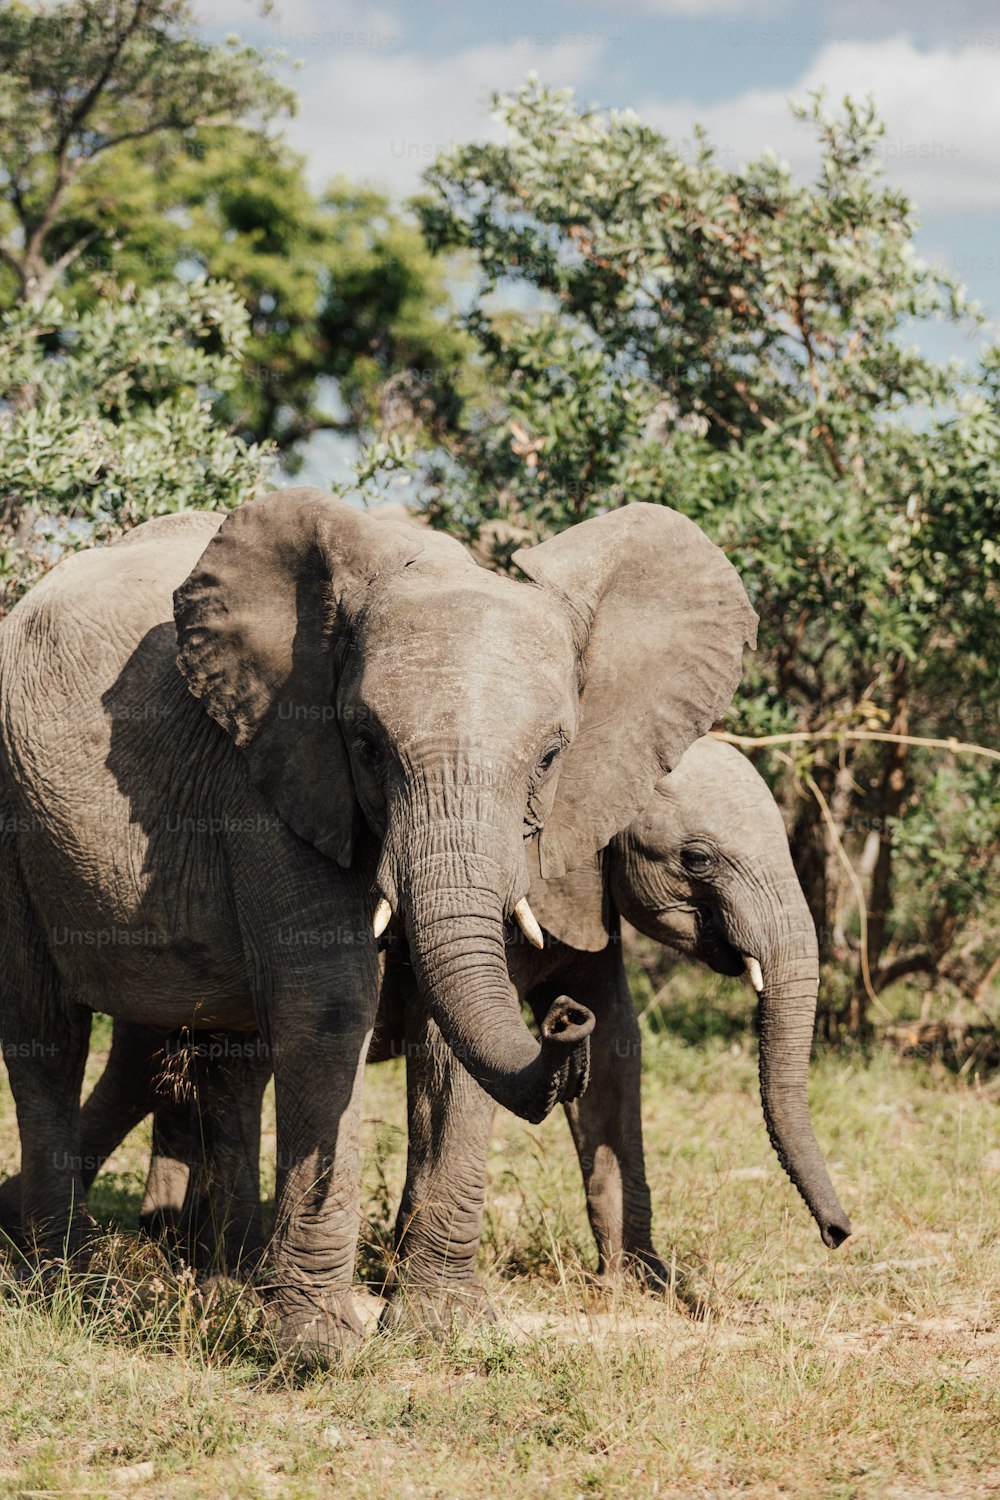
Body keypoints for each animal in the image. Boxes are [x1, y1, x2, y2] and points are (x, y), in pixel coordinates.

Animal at [0, 489, 758, 1362]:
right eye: (364, 743)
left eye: (550, 757)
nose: (568, 1019)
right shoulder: (272, 765)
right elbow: (331, 1004)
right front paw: (317, 1350)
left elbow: (449, 1035)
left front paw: (441, 1328)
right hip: (15, 818)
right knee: (47, 1033)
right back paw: (71, 1286)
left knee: (224, 1053)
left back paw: (219, 1280)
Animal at [0, 732, 851, 1320]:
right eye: (698, 859)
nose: (839, 1236)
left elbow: (615, 1052)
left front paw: (641, 1281)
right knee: (175, 1062)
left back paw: (157, 1235)